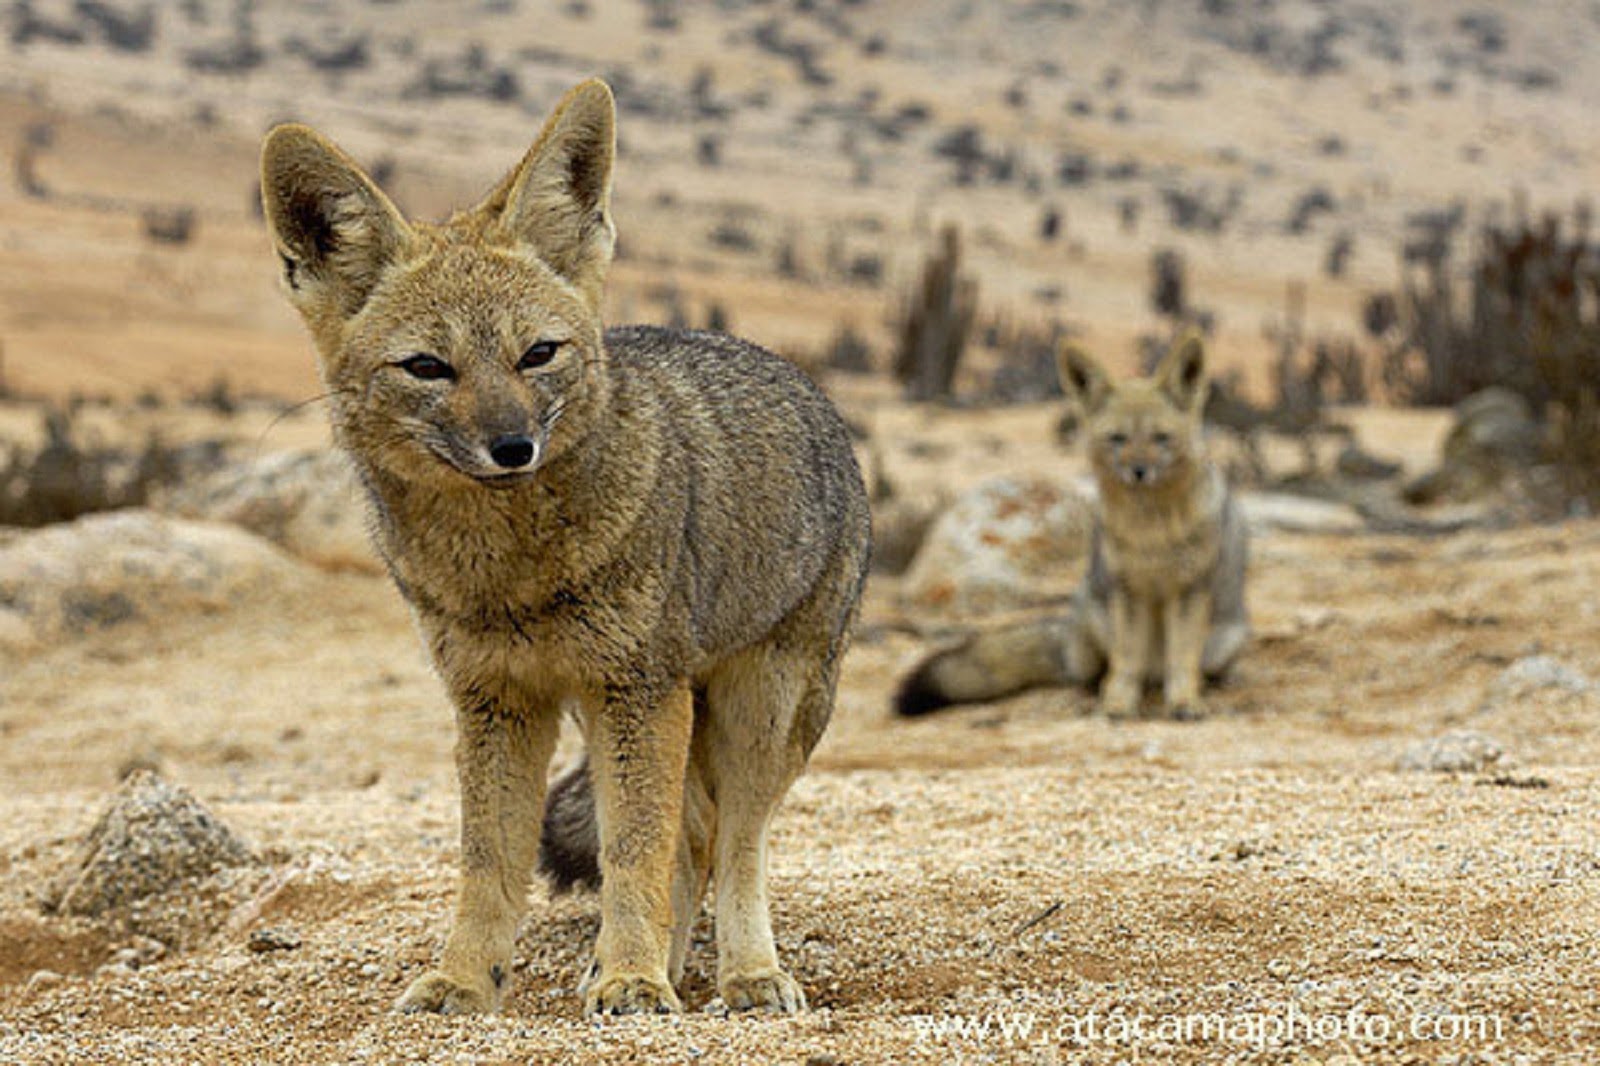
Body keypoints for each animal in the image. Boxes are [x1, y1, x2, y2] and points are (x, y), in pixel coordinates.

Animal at [259, 80, 876, 1011]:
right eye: (428, 367)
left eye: (537, 354)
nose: (513, 447)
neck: (505, 573)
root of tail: (805, 383)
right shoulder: (498, 701)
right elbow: (490, 860)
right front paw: (467, 979)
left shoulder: (636, 692)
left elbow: (633, 849)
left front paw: (632, 978)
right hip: (624, 712)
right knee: (694, 834)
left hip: (759, 706)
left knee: (734, 841)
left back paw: (745, 973)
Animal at [896, 332, 1241, 713]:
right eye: (1117, 438)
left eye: (1161, 438)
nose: (1138, 472)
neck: (1152, 532)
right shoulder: (1126, 590)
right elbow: (1127, 660)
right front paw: (1118, 705)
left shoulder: (1189, 590)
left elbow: (1181, 659)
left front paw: (1184, 702)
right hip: (1095, 623)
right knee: (1091, 670)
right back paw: (1097, 688)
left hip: (1223, 640)